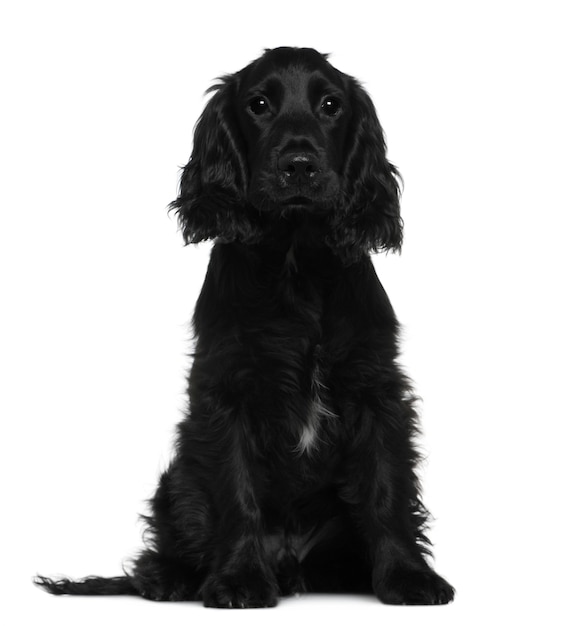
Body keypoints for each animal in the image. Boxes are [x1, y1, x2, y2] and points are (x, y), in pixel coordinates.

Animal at [36, 47, 454, 604]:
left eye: (331, 105)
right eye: (258, 104)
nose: (299, 165)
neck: (296, 260)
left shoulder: (375, 387)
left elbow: (386, 486)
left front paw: (410, 577)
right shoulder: (227, 392)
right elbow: (237, 492)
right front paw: (238, 580)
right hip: (179, 480)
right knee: (164, 549)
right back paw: (172, 579)